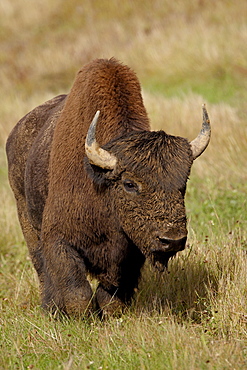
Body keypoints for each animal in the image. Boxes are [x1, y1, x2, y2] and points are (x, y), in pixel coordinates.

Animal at [5, 57, 210, 316]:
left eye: (183, 184)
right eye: (129, 184)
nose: (172, 240)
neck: (102, 185)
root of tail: (16, 132)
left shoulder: (131, 253)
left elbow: (112, 294)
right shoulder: (59, 239)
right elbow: (77, 292)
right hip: (25, 214)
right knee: (41, 267)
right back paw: (51, 308)